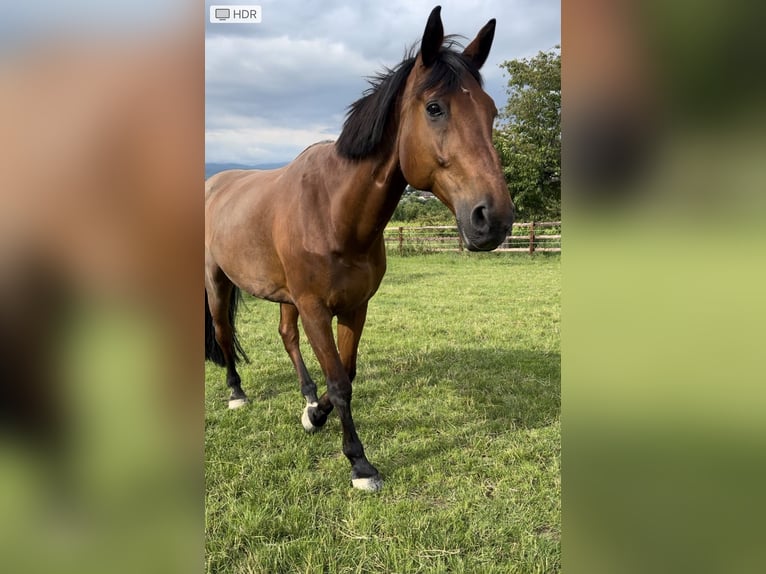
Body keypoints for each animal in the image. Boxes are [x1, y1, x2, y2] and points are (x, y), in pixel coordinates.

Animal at [204, 4, 516, 492]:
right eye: (434, 108)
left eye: (492, 111)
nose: (494, 218)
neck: (333, 212)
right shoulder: (316, 308)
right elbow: (339, 383)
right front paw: (359, 463)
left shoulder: (353, 306)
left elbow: (344, 374)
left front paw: (314, 415)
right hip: (217, 282)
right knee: (222, 331)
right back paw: (237, 392)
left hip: (285, 297)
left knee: (287, 337)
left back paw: (305, 396)